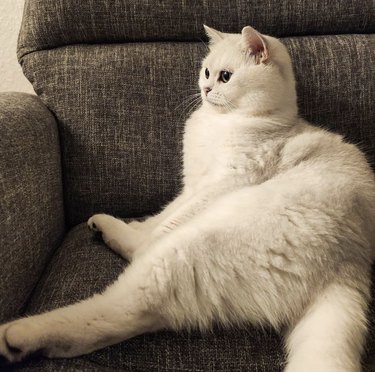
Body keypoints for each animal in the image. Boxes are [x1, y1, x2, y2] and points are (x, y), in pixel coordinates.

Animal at [0, 26, 375, 372]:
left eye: (225, 76)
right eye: (206, 72)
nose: (205, 89)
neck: (223, 122)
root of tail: (349, 265)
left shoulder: (225, 181)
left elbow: (167, 222)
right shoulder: (191, 185)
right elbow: (162, 215)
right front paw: (138, 226)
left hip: (189, 249)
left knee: (121, 301)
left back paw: (17, 336)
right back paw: (107, 230)